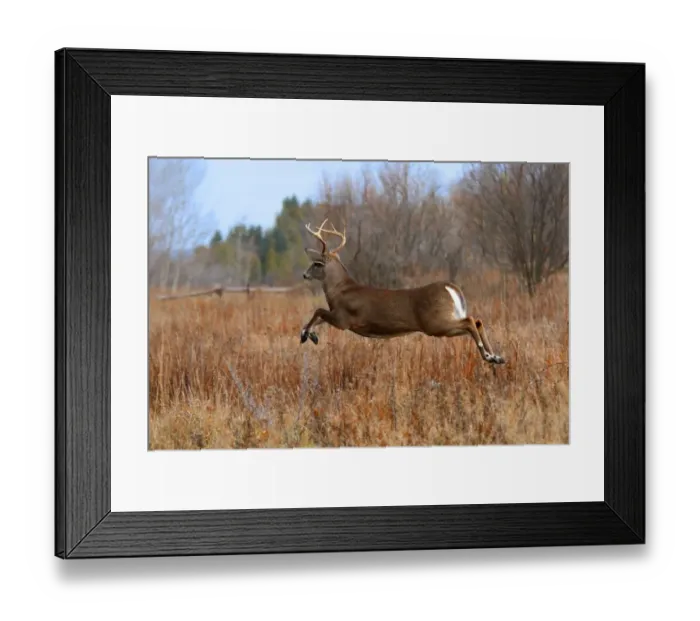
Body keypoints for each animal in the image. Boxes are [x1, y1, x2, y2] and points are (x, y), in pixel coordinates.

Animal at [299, 219, 506, 365]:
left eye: (317, 263)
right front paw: (312, 335)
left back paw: (489, 355)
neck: (339, 290)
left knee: (470, 321)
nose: (304, 274)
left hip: (436, 323)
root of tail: (451, 287)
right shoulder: (337, 315)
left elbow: (318, 311)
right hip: (444, 322)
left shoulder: (344, 319)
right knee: (477, 321)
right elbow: (318, 317)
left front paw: (304, 335)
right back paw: (495, 357)